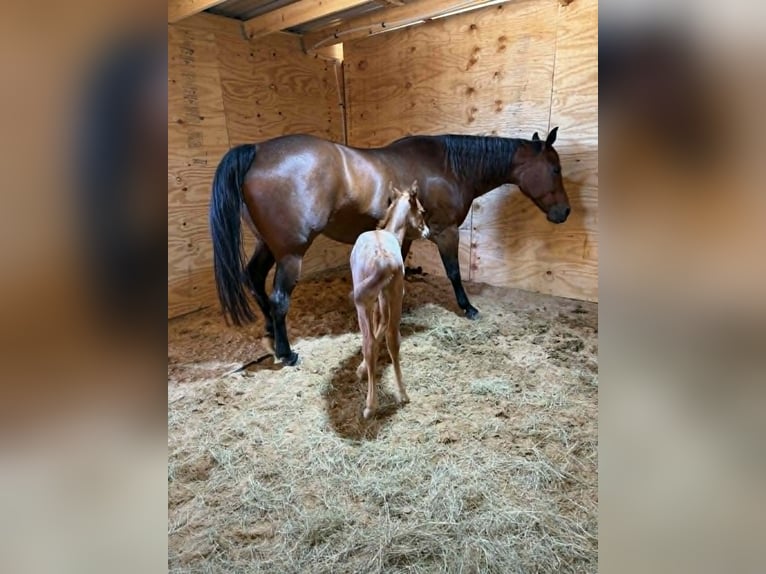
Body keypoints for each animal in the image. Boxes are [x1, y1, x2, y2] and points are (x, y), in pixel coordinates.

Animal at [210, 128, 569, 365]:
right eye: (555, 169)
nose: (563, 212)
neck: (448, 167)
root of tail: (257, 151)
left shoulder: (405, 236)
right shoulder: (446, 232)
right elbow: (454, 272)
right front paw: (468, 307)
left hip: (268, 246)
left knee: (254, 279)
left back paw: (271, 330)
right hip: (290, 254)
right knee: (279, 298)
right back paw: (286, 352)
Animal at [350, 180, 429, 418]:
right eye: (422, 211)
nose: (427, 231)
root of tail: (382, 257)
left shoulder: (373, 299)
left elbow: (376, 331)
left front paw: (361, 369)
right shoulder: (382, 297)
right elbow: (382, 326)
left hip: (366, 302)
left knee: (370, 344)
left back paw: (370, 405)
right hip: (393, 295)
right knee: (393, 339)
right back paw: (402, 394)